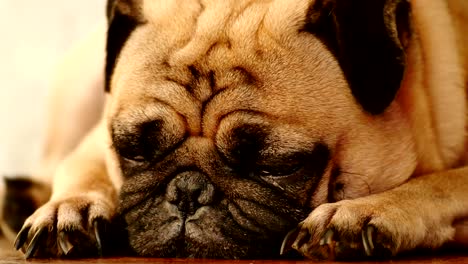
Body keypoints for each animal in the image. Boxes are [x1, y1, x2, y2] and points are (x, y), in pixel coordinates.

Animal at [5, 0, 468, 260]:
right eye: (133, 149)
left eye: (277, 166)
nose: (187, 191)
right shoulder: (95, 138)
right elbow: (82, 168)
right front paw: (68, 209)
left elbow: (441, 183)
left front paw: (360, 213)